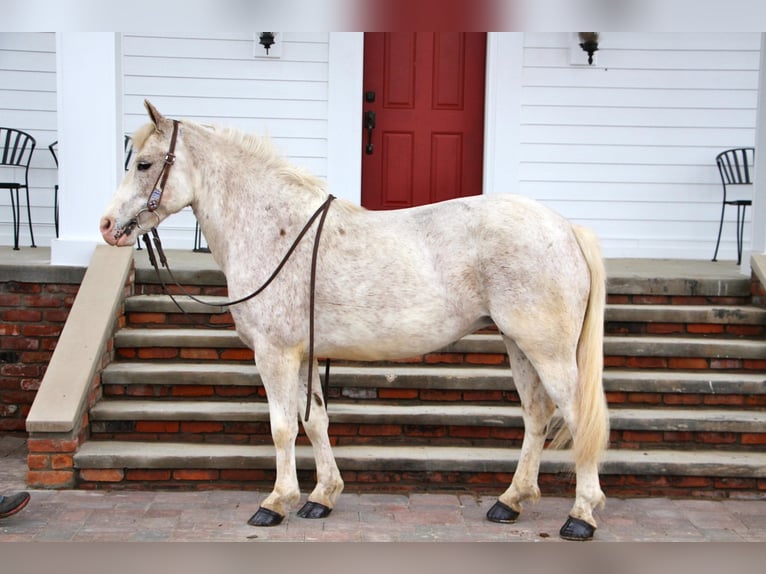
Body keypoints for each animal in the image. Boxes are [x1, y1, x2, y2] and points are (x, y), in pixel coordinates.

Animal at [99, 101, 608, 544]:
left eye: (143, 164)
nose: (106, 226)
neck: (274, 229)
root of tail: (566, 228)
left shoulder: (275, 354)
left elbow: (282, 427)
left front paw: (276, 503)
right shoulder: (304, 354)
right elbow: (315, 422)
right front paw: (321, 497)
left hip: (548, 350)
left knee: (574, 415)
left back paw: (580, 516)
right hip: (519, 345)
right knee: (536, 414)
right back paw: (510, 501)